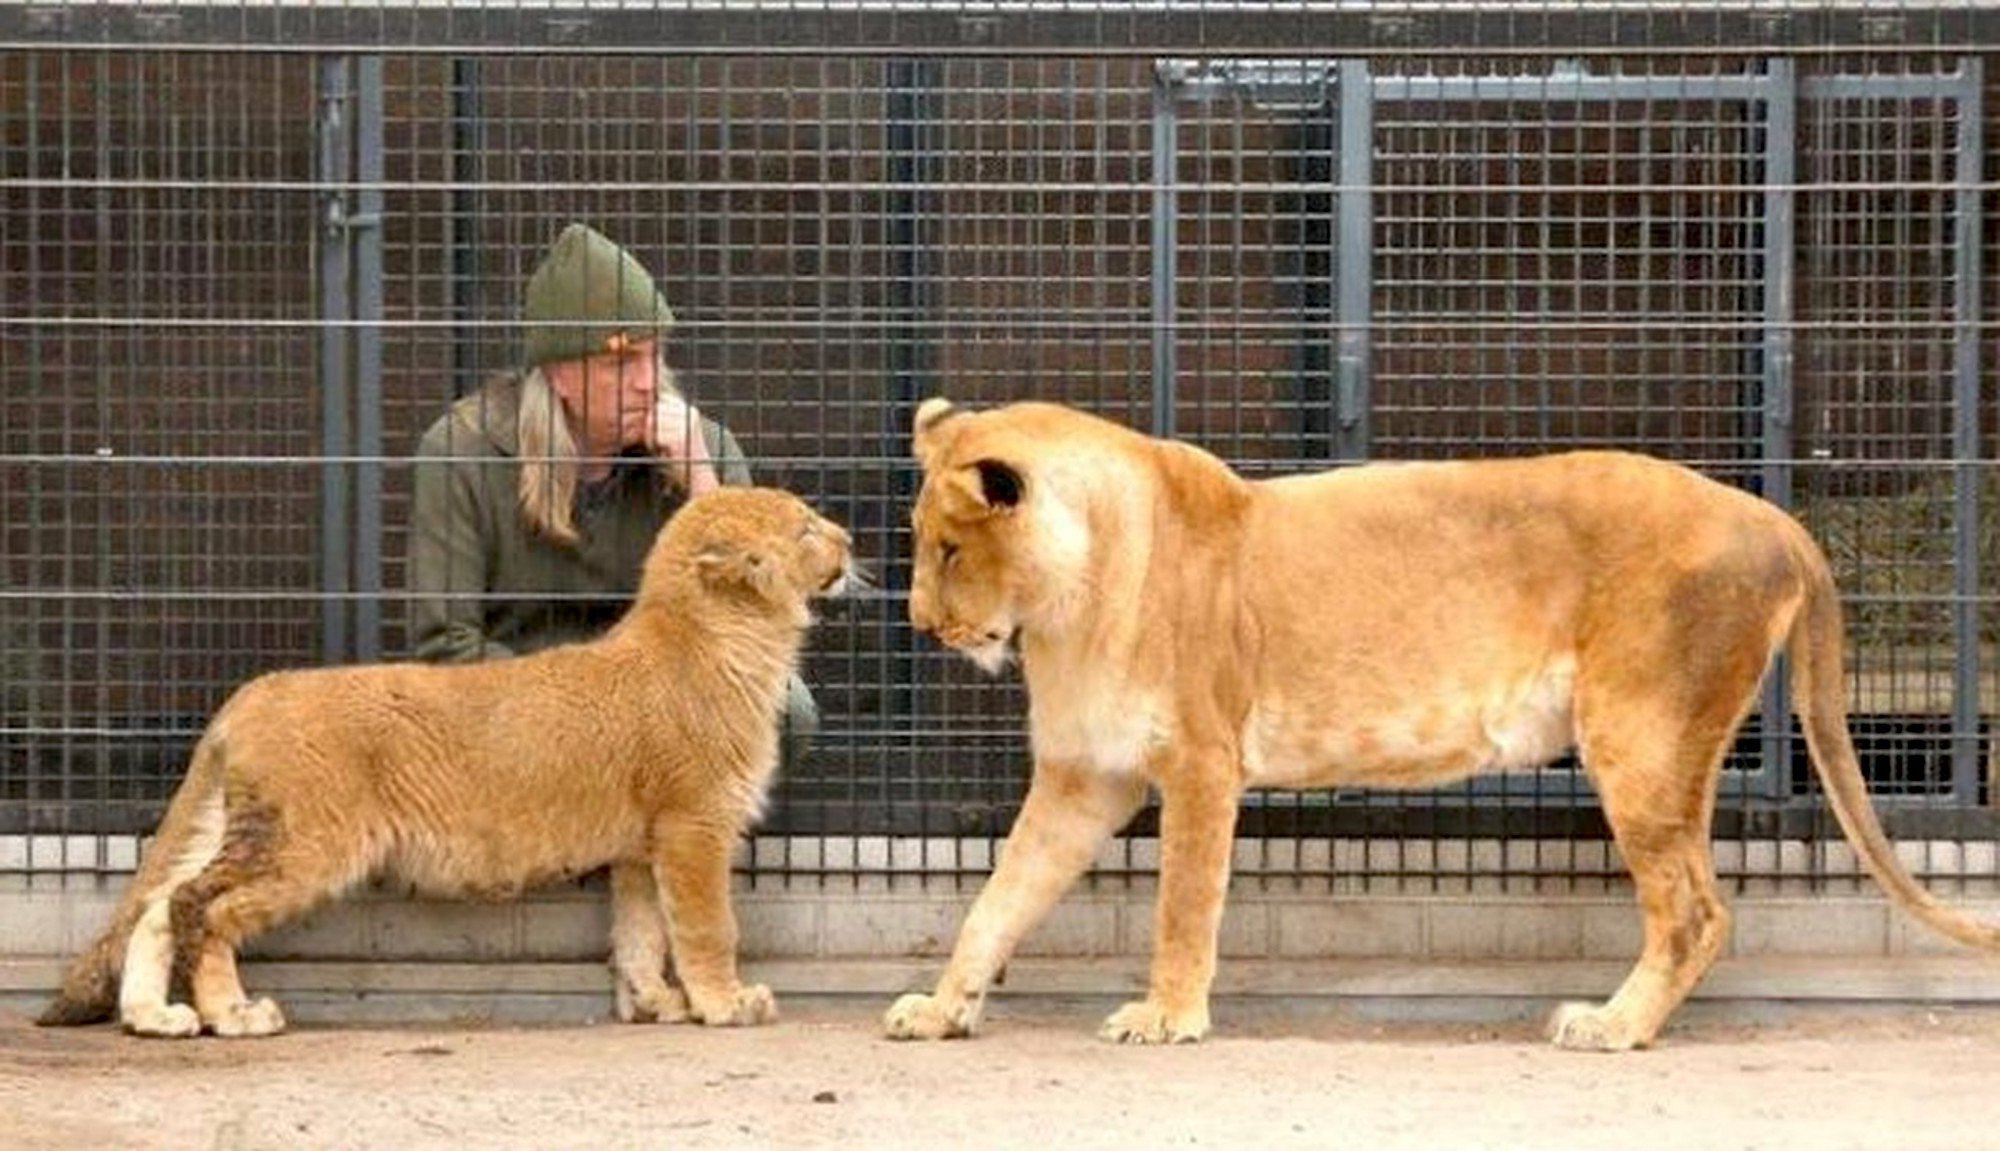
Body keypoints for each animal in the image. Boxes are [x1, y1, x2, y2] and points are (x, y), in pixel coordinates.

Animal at [41, 485, 852, 1039]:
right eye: (806, 528)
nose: (849, 539)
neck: (729, 637)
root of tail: (254, 690)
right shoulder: (693, 825)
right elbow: (708, 925)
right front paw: (726, 1003)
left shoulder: (639, 843)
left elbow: (642, 934)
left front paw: (656, 1003)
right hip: (308, 841)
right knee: (200, 906)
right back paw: (233, 1012)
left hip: (245, 826)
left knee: (157, 903)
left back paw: (156, 1018)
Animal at [888, 397, 2000, 1055]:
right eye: (920, 544)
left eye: (948, 548)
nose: (918, 623)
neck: (1067, 606)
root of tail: (1775, 518)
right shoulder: (1086, 774)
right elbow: (999, 897)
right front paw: (944, 1006)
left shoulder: (1203, 759)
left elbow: (1181, 906)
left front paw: (1167, 1015)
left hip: (1639, 734)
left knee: (1695, 908)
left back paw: (1611, 1025)